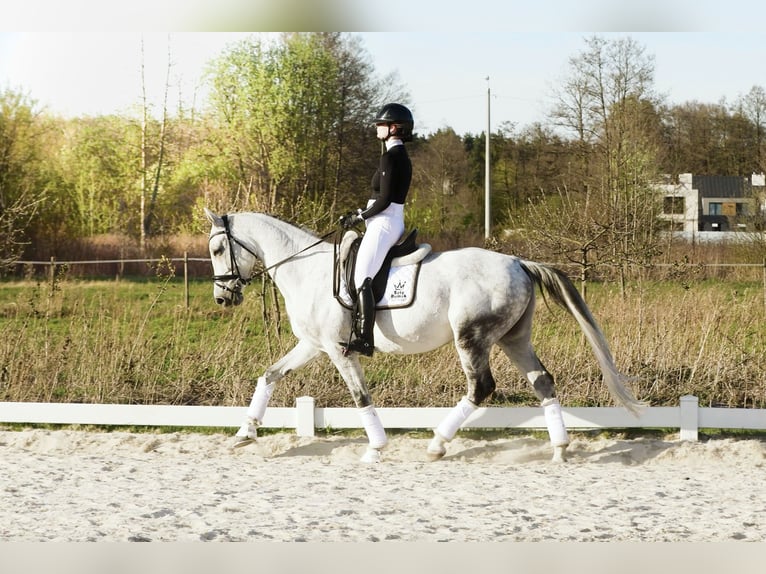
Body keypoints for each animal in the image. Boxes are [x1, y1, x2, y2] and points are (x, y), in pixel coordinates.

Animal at [205, 208, 645, 463]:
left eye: (216, 251)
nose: (223, 297)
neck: (306, 268)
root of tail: (518, 262)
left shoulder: (338, 350)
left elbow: (360, 397)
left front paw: (376, 448)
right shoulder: (313, 344)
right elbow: (270, 375)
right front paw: (245, 434)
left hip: (472, 339)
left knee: (481, 387)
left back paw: (437, 444)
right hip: (513, 339)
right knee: (543, 381)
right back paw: (559, 449)